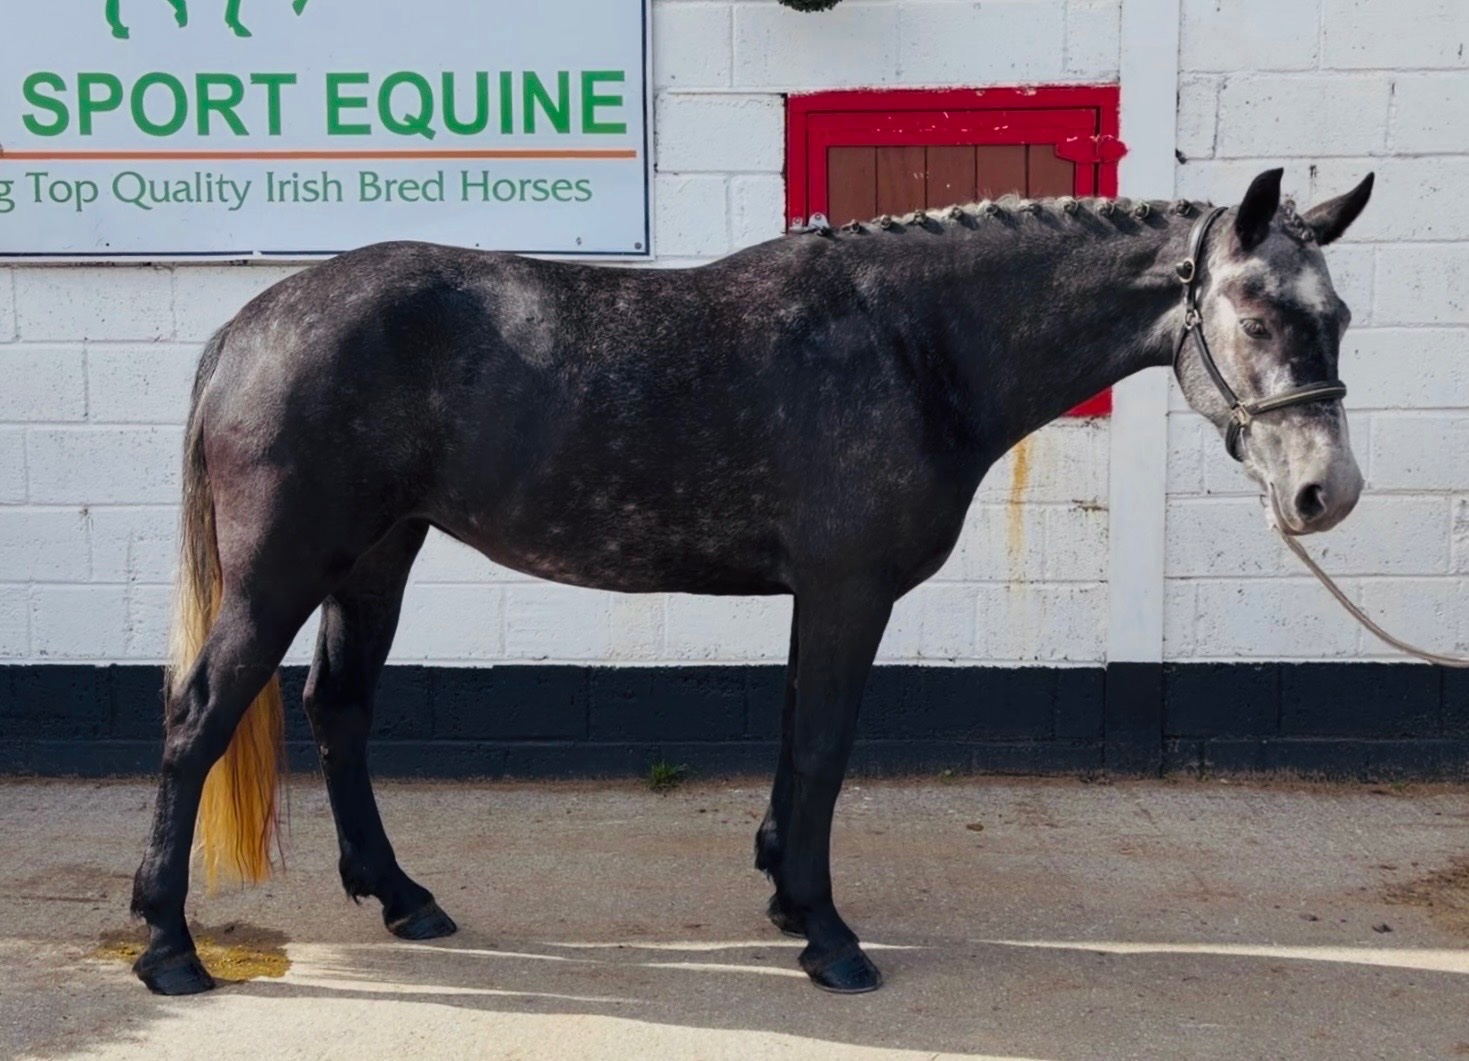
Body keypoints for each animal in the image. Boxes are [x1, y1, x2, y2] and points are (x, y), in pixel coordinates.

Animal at [129, 167, 1374, 996]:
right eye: (1255, 312)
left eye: (1340, 315)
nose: (1326, 491)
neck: (914, 341)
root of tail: (247, 325)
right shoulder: (846, 589)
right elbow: (819, 750)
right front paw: (826, 933)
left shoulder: (817, 596)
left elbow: (793, 742)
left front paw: (785, 892)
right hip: (287, 568)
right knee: (196, 719)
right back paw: (168, 944)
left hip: (377, 554)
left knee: (338, 709)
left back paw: (403, 897)